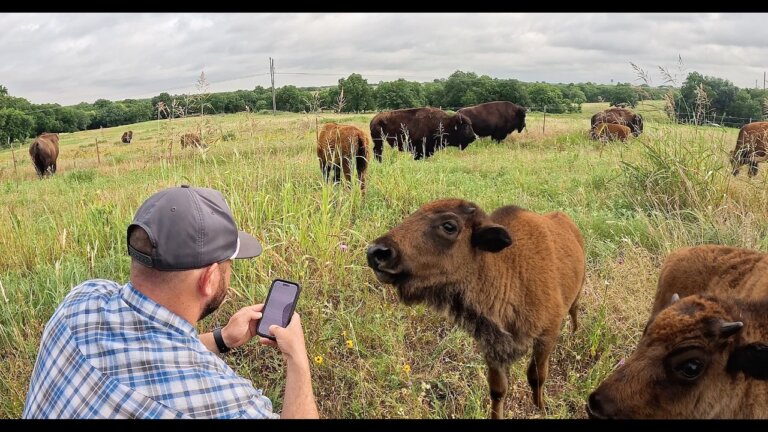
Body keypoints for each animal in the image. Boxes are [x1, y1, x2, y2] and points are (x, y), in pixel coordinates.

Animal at [366, 199, 586, 419]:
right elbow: (498, 390)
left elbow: (536, 376)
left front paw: (540, 408)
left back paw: (575, 333)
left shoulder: (546, 336)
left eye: (449, 226)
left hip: (578, 290)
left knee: (574, 310)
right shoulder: (493, 347)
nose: (376, 253)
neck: (509, 270)